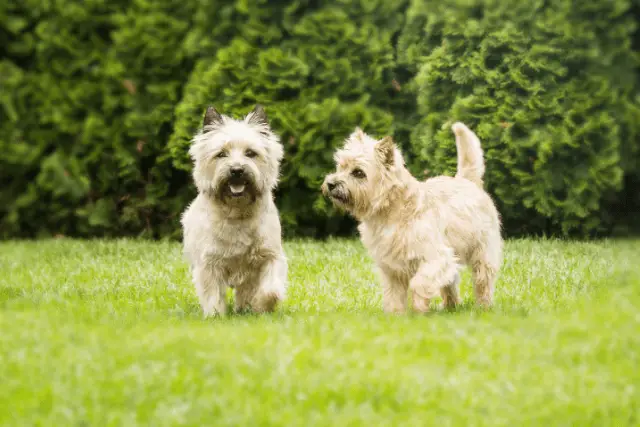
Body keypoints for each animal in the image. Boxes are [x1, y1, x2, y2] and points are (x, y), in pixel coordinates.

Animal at [181, 105, 288, 316]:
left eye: (251, 153)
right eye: (221, 154)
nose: (237, 170)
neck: (237, 212)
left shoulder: (270, 256)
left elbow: (270, 289)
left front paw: (261, 306)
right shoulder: (209, 262)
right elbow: (212, 292)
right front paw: (215, 315)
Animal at [322, 123, 502, 314]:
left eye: (358, 172)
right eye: (340, 167)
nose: (331, 184)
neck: (392, 211)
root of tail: (468, 181)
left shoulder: (436, 258)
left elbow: (419, 283)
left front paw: (418, 310)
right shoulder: (391, 267)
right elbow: (393, 293)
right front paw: (395, 315)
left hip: (483, 253)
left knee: (483, 280)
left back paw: (483, 306)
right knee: (450, 283)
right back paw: (449, 307)